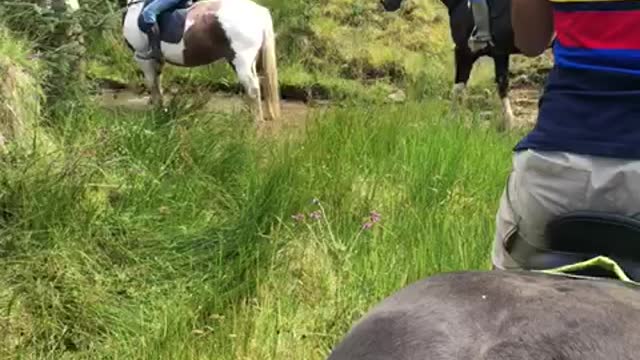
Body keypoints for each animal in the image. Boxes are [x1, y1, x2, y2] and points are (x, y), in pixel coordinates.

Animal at [121, 0, 278, 121]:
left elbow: (151, 84)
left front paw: (156, 110)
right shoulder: (157, 60)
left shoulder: (142, 58)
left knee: (253, 89)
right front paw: (160, 109)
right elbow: (157, 83)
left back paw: (255, 121)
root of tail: (258, 11)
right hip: (247, 62)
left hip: (241, 61)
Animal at [380, 0, 520, 131]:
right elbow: (502, 85)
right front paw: (509, 124)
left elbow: (458, 88)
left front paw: (451, 121)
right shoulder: (500, 53)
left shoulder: (464, 52)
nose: (384, 3)